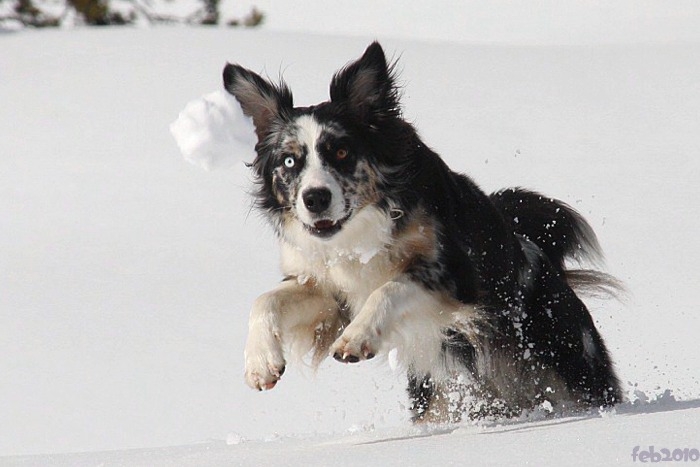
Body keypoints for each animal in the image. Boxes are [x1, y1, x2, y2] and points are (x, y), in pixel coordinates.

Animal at [221, 42, 620, 422]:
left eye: (342, 152)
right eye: (290, 161)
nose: (315, 198)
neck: (360, 232)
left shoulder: (456, 273)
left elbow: (389, 287)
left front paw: (357, 338)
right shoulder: (327, 291)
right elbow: (265, 300)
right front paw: (260, 364)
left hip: (570, 362)